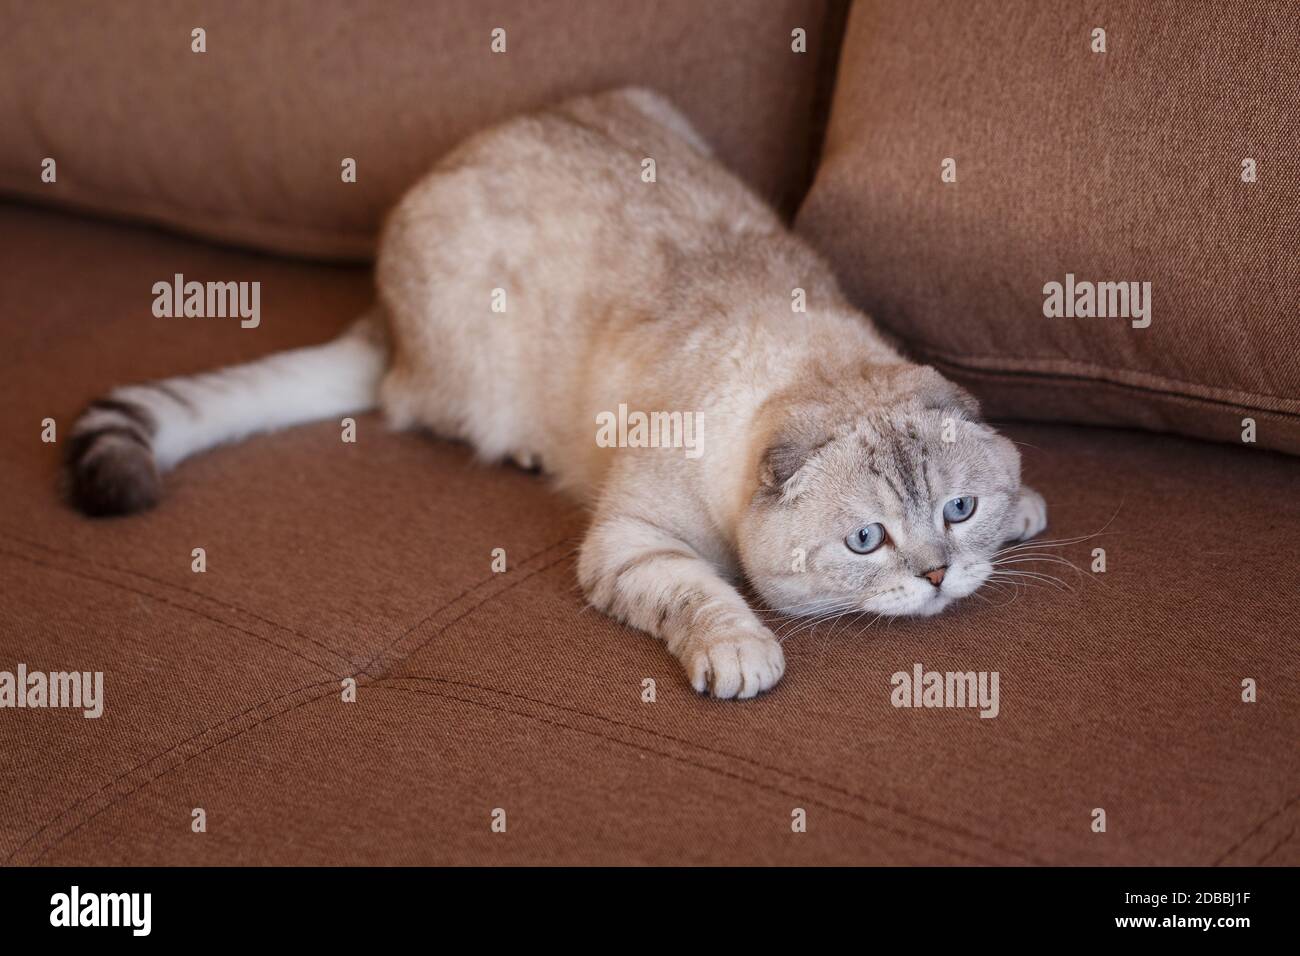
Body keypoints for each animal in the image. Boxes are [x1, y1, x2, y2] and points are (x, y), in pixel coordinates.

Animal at [65, 87, 1050, 697]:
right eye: (865, 540)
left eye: (960, 510)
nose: (938, 576)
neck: (809, 363)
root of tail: (386, 318)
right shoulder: (632, 541)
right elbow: (703, 597)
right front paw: (742, 654)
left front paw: (1025, 514)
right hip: (473, 372)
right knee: (416, 407)